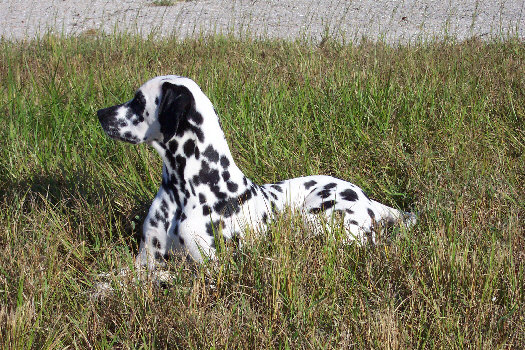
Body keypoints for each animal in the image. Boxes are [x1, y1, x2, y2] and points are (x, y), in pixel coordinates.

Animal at [96, 76, 414, 268]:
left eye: (138, 101)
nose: (99, 113)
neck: (188, 188)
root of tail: (367, 198)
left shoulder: (209, 269)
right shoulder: (146, 262)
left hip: (315, 217)